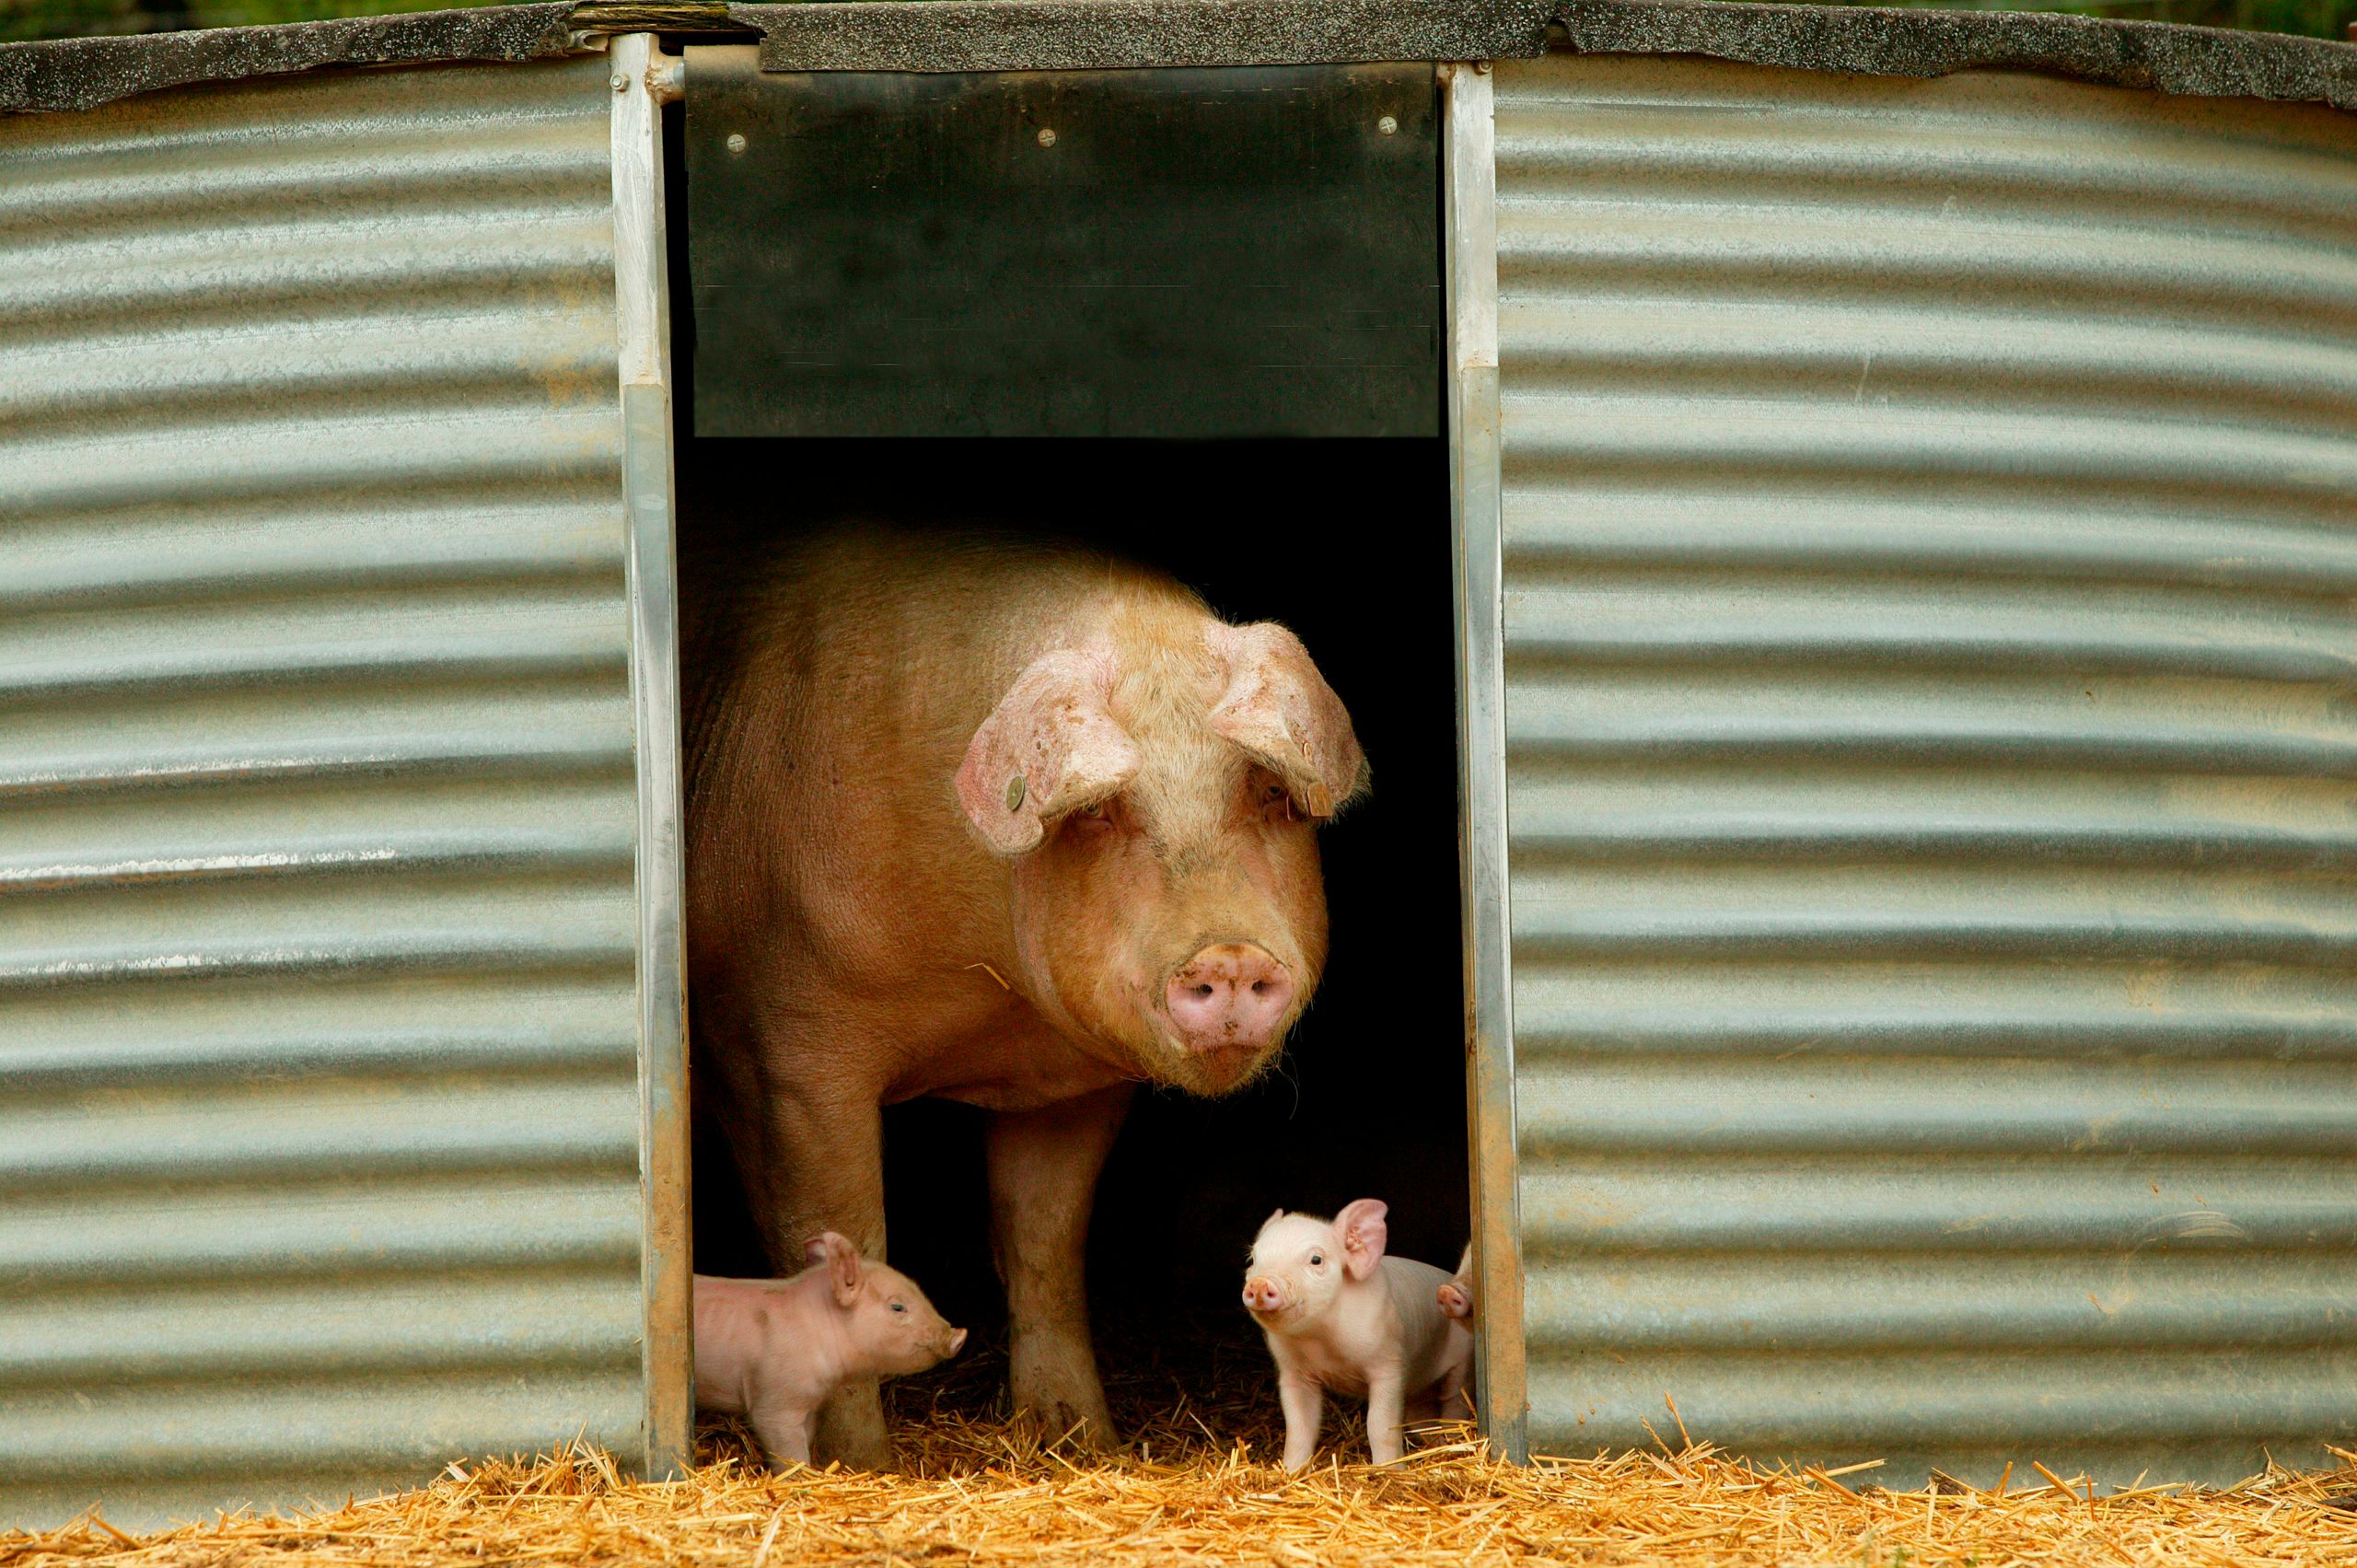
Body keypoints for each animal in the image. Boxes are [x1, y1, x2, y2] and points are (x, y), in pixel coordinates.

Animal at [1242, 1200, 1472, 1472]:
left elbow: (1380, 1424)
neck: (1322, 1342)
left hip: (1464, 1363)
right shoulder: (1293, 1373)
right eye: (1252, 1259)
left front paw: (1388, 1470)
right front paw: (1291, 1471)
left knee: (1454, 1401)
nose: (1259, 1284)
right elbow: (1299, 1426)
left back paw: (1453, 1441)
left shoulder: (1389, 1364)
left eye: (1316, 1259)